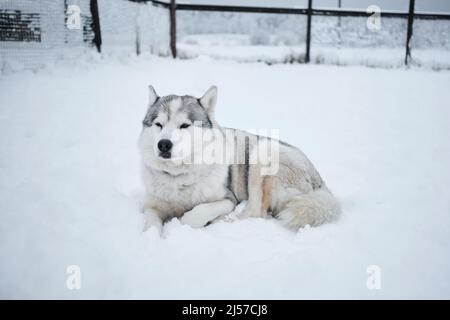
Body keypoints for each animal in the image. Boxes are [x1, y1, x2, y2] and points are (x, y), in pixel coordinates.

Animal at [139, 86, 340, 234]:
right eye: (158, 124)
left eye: (184, 125)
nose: (164, 144)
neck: (178, 179)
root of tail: (320, 184)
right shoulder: (152, 207)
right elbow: (150, 225)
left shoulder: (228, 198)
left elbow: (196, 213)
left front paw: (187, 220)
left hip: (262, 154)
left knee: (255, 212)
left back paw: (223, 221)